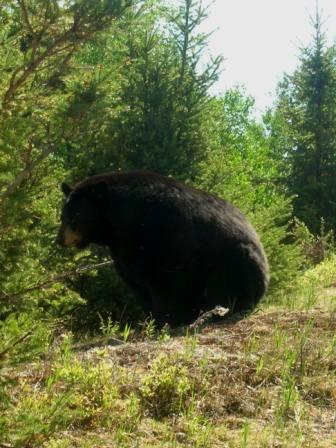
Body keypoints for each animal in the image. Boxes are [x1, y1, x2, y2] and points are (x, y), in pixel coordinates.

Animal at [56, 172, 270, 326]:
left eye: (76, 216)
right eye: (63, 216)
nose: (59, 240)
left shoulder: (161, 236)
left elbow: (166, 281)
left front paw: (166, 320)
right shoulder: (124, 250)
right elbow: (137, 283)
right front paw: (151, 321)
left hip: (237, 259)